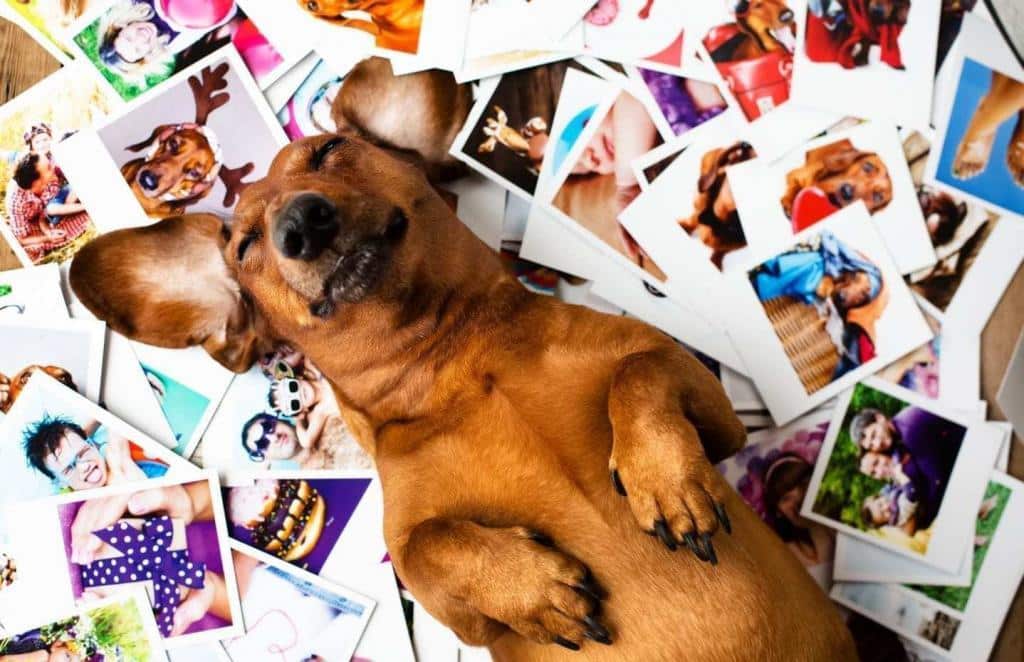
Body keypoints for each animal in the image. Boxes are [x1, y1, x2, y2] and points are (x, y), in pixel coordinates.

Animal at [74, 58, 856, 662]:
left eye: (327, 151)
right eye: (245, 246)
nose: (300, 223)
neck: (456, 363)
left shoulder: (717, 419)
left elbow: (640, 373)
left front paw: (664, 479)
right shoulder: (447, 602)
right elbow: (429, 544)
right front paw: (536, 587)